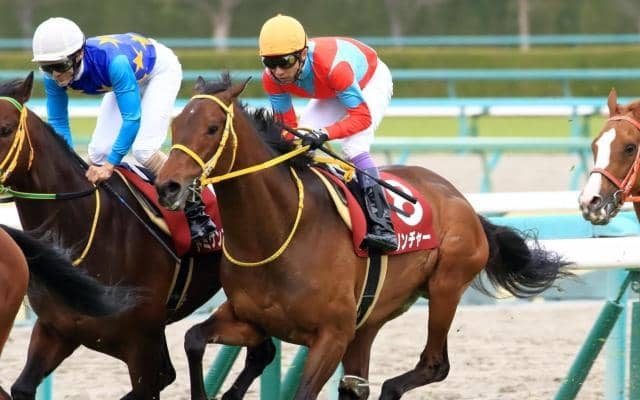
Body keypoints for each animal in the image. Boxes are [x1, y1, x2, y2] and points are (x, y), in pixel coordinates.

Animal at [155, 74, 570, 400]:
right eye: (176, 126)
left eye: (212, 127)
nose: (167, 186)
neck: (276, 232)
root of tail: (462, 202)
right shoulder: (248, 318)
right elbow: (194, 340)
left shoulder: (332, 335)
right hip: (370, 317)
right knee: (359, 381)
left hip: (446, 286)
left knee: (433, 365)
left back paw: (393, 387)